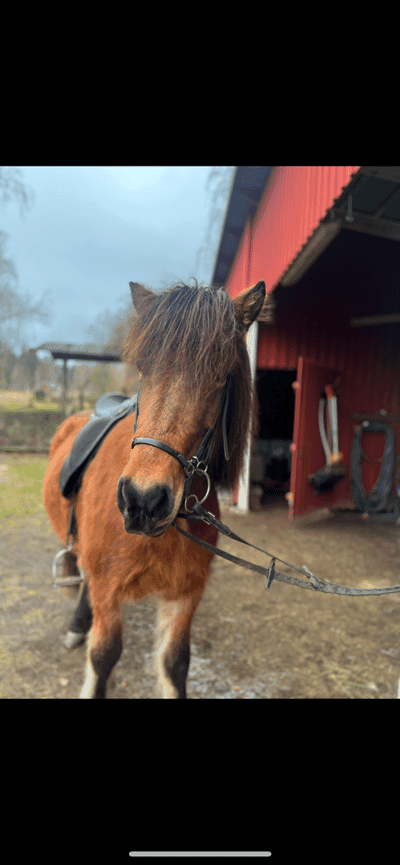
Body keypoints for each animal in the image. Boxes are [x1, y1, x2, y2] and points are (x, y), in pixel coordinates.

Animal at [42, 280, 266, 700]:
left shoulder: (185, 596)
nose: (143, 501)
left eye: (220, 375)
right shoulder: (108, 591)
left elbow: (175, 663)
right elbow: (103, 658)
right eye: (144, 370)